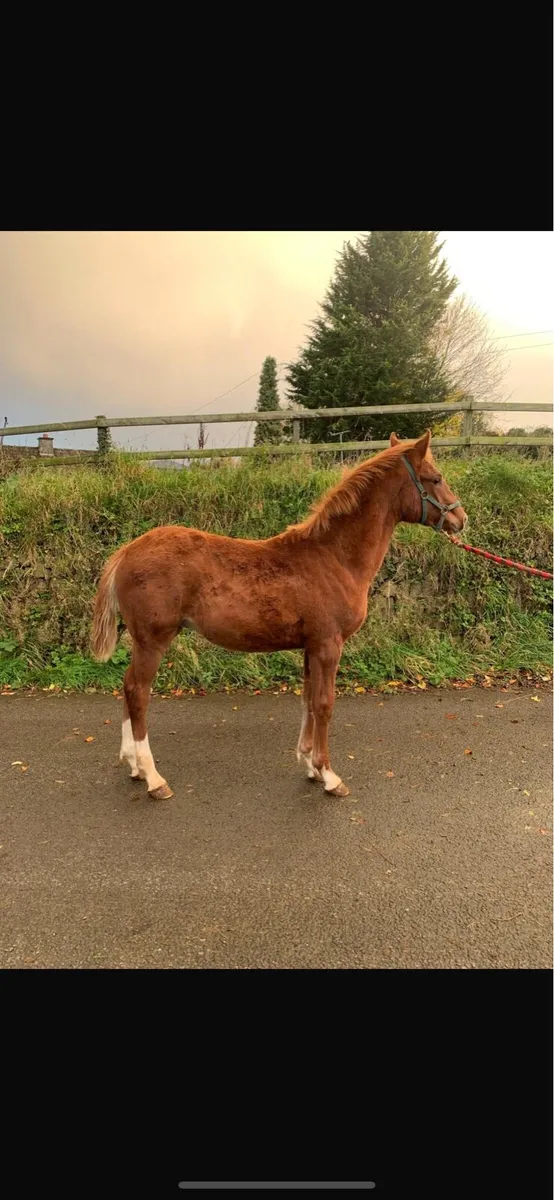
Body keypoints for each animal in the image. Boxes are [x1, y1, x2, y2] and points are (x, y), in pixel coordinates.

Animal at [91, 430, 466, 801]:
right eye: (436, 478)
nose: (460, 519)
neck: (334, 558)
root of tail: (126, 551)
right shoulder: (328, 645)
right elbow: (325, 703)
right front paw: (330, 776)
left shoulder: (310, 646)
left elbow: (308, 700)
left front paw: (311, 766)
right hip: (153, 639)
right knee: (138, 691)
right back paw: (154, 778)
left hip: (142, 640)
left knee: (127, 686)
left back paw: (134, 766)